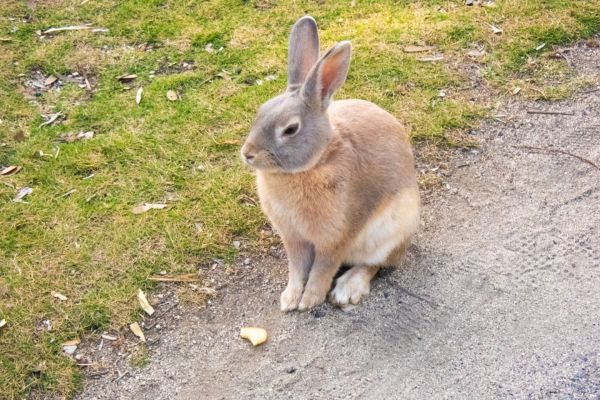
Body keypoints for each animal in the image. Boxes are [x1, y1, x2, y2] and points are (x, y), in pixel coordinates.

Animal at [238, 15, 418, 310]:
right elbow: (298, 268)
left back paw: (347, 289)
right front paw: (290, 299)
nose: (248, 153)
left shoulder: (336, 238)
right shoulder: (294, 238)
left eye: (290, 129)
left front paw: (309, 300)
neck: (315, 162)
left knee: (376, 264)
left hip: (391, 231)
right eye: (260, 112)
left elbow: (323, 269)